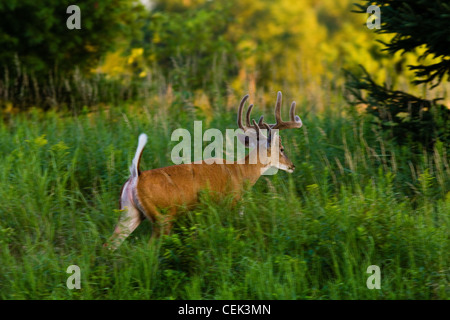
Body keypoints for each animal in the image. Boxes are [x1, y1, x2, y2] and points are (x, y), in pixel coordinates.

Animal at [105, 90, 302, 250]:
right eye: (281, 149)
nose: (292, 166)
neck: (241, 171)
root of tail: (136, 176)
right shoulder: (233, 201)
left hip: (129, 214)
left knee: (108, 245)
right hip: (162, 216)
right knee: (148, 247)